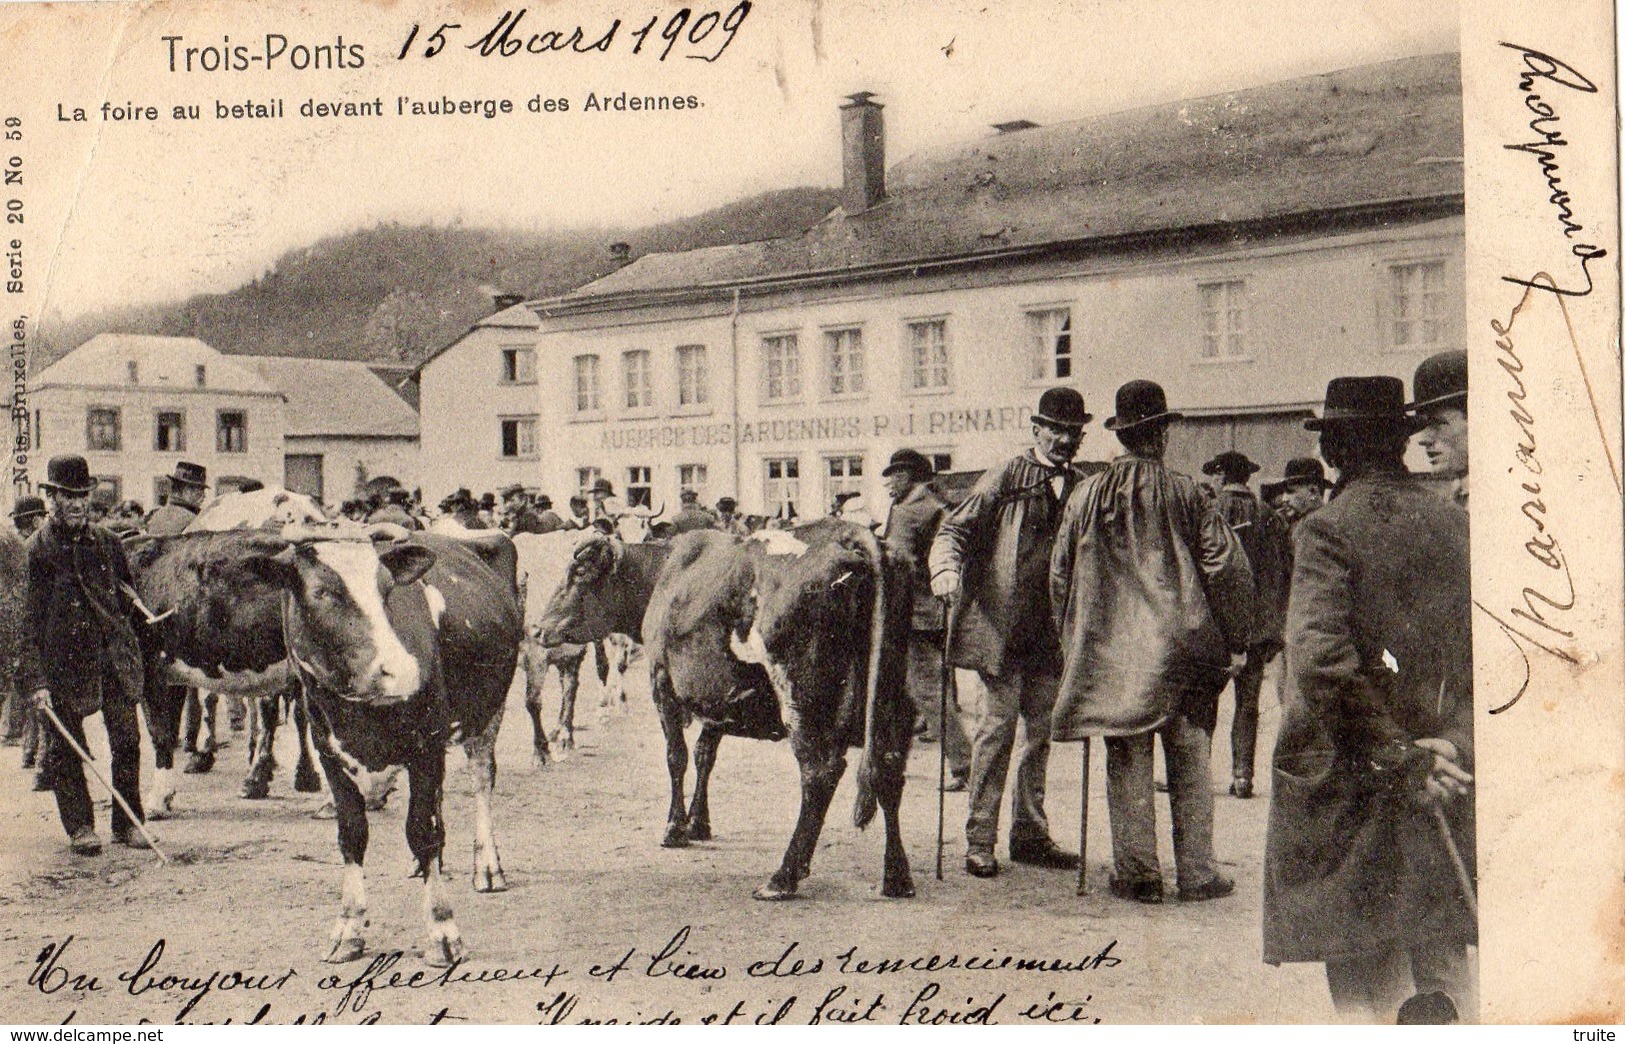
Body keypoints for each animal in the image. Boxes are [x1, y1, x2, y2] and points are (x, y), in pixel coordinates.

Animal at [533, 520, 916, 897]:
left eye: (580, 572)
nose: (537, 628)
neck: (663, 573)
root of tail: (848, 533)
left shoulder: (662, 682)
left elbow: (676, 756)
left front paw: (674, 828)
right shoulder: (718, 696)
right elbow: (705, 754)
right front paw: (698, 823)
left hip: (799, 696)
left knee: (820, 773)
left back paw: (784, 876)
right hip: (891, 698)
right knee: (888, 768)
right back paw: (896, 876)